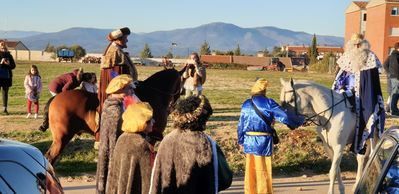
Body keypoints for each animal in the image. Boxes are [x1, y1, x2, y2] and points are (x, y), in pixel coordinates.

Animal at [39, 69, 184, 164]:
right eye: (182, 81)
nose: (180, 96)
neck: (154, 94)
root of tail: (56, 97)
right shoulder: (152, 137)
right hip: (62, 138)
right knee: (50, 158)